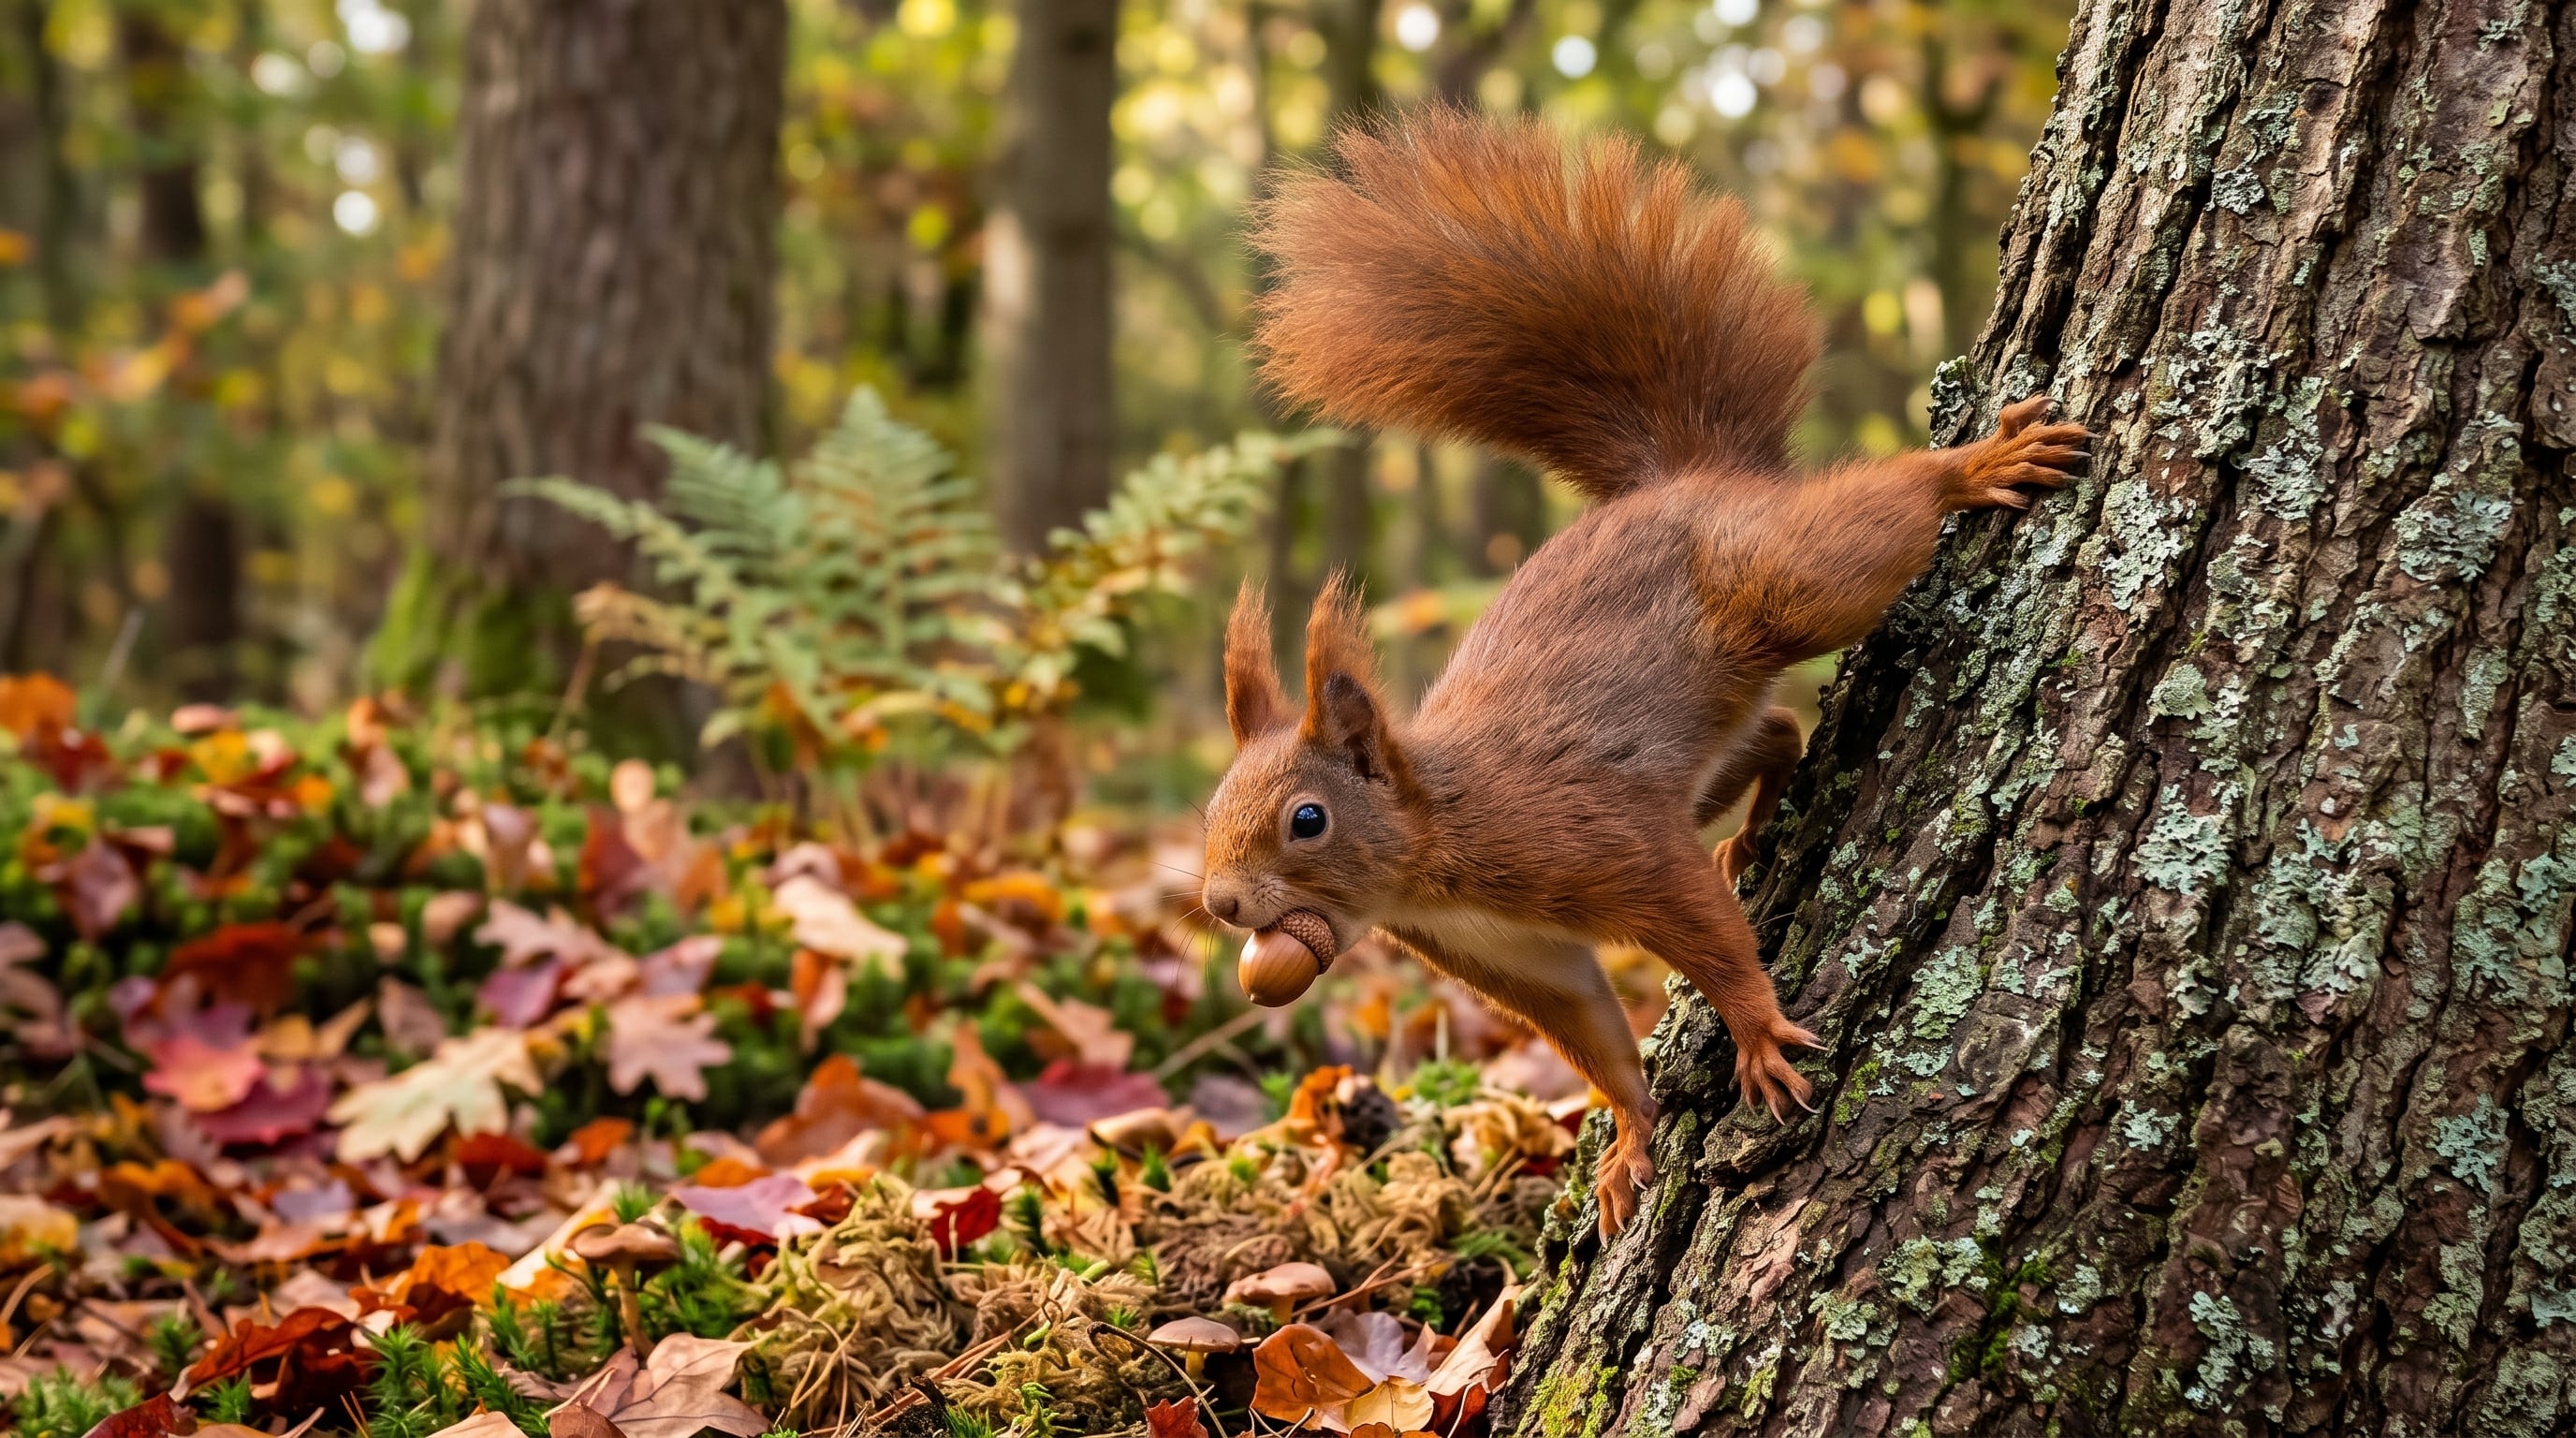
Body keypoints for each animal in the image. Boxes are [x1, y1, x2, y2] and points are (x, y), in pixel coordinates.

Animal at [1198, 109, 2089, 1236]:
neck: (1432, 846)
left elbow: (1700, 933)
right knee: (1775, 733)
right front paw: (1627, 1141)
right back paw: (1756, 822)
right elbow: (1593, 1031)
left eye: (1306, 820)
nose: (1221, 902)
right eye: (1209, 813)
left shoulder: (1597, 841)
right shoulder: (1512, 957)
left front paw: (1755, 1032)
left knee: (1866, 535)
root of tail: (1684, 476)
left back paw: (1971, 467)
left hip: (1786, 584)